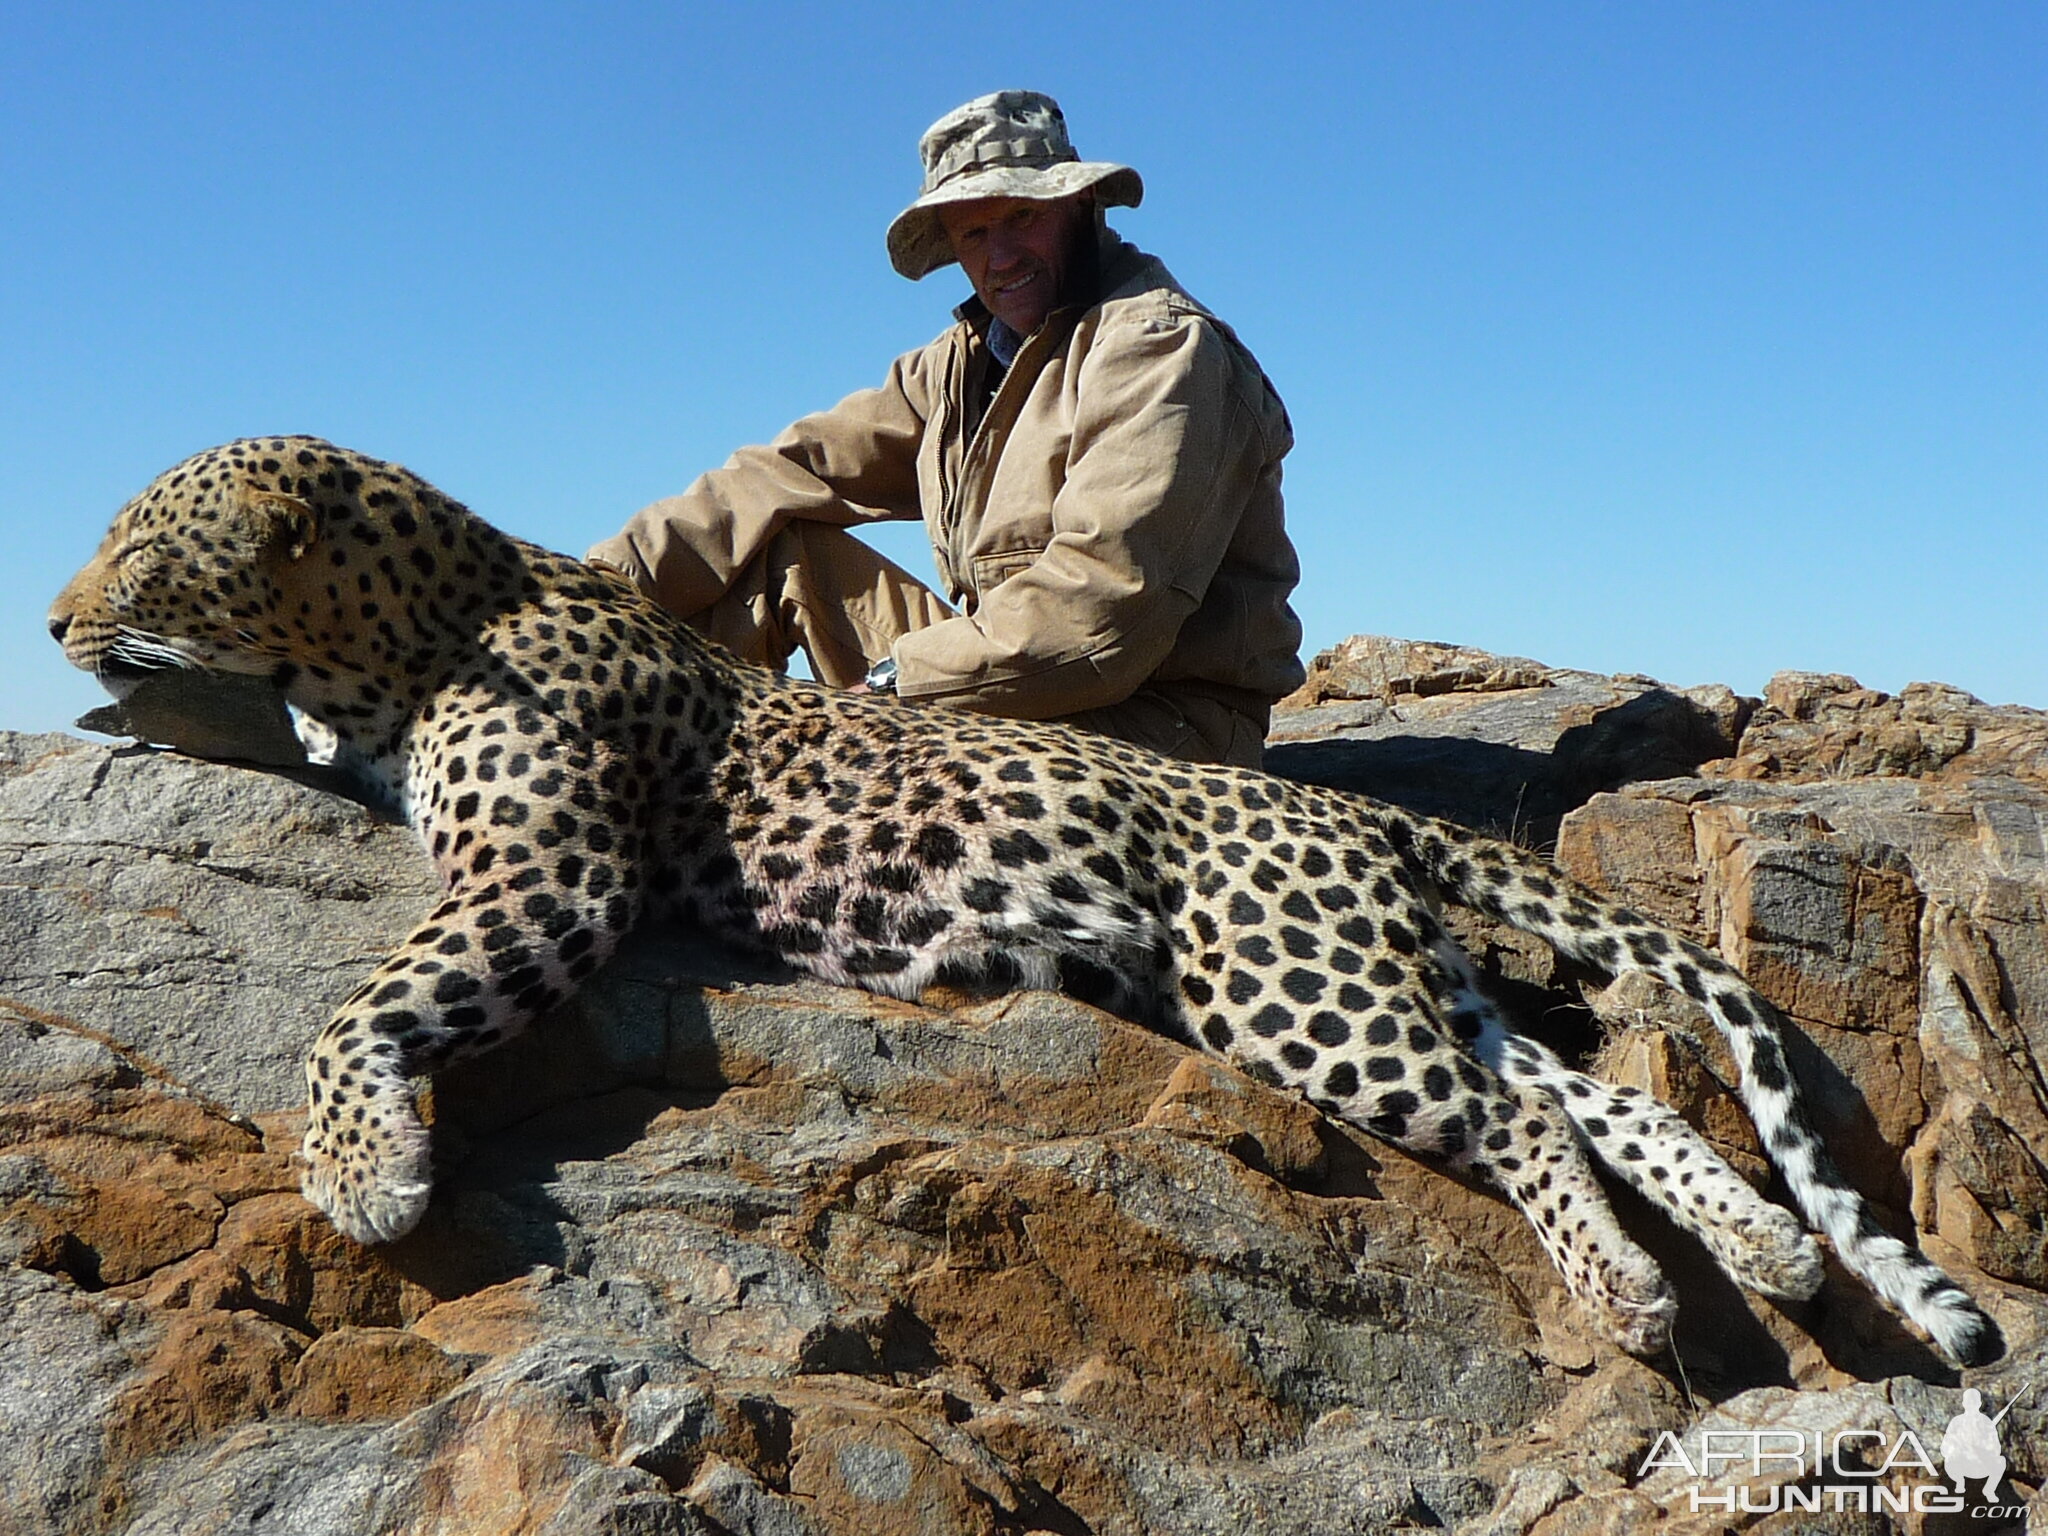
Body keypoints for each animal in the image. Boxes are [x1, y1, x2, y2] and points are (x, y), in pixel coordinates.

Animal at [44, 438, 1998, 1368]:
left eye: (140, 548)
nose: (57, 620)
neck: (413, 622)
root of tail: (1335, 806)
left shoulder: (551, 867)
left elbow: (363, 1003)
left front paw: (363, 1174)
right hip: (1395, 974)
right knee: (1580, 1091)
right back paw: (1761, 1252)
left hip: (1292, 989)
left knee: (1520, 1124)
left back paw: (1634, 1293)